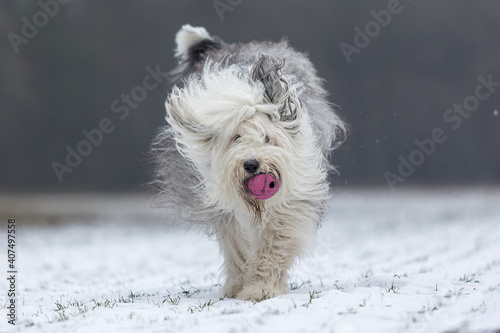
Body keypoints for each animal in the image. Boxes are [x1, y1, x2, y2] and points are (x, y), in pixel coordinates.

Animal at [152, 23, 346, 298]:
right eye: (236, 137)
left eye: (266, 137)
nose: (252, 164)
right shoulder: (226, 210)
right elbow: (237, 246)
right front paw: (240, 286)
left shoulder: (293, 199)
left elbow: (274, 244)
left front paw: (261, 289)